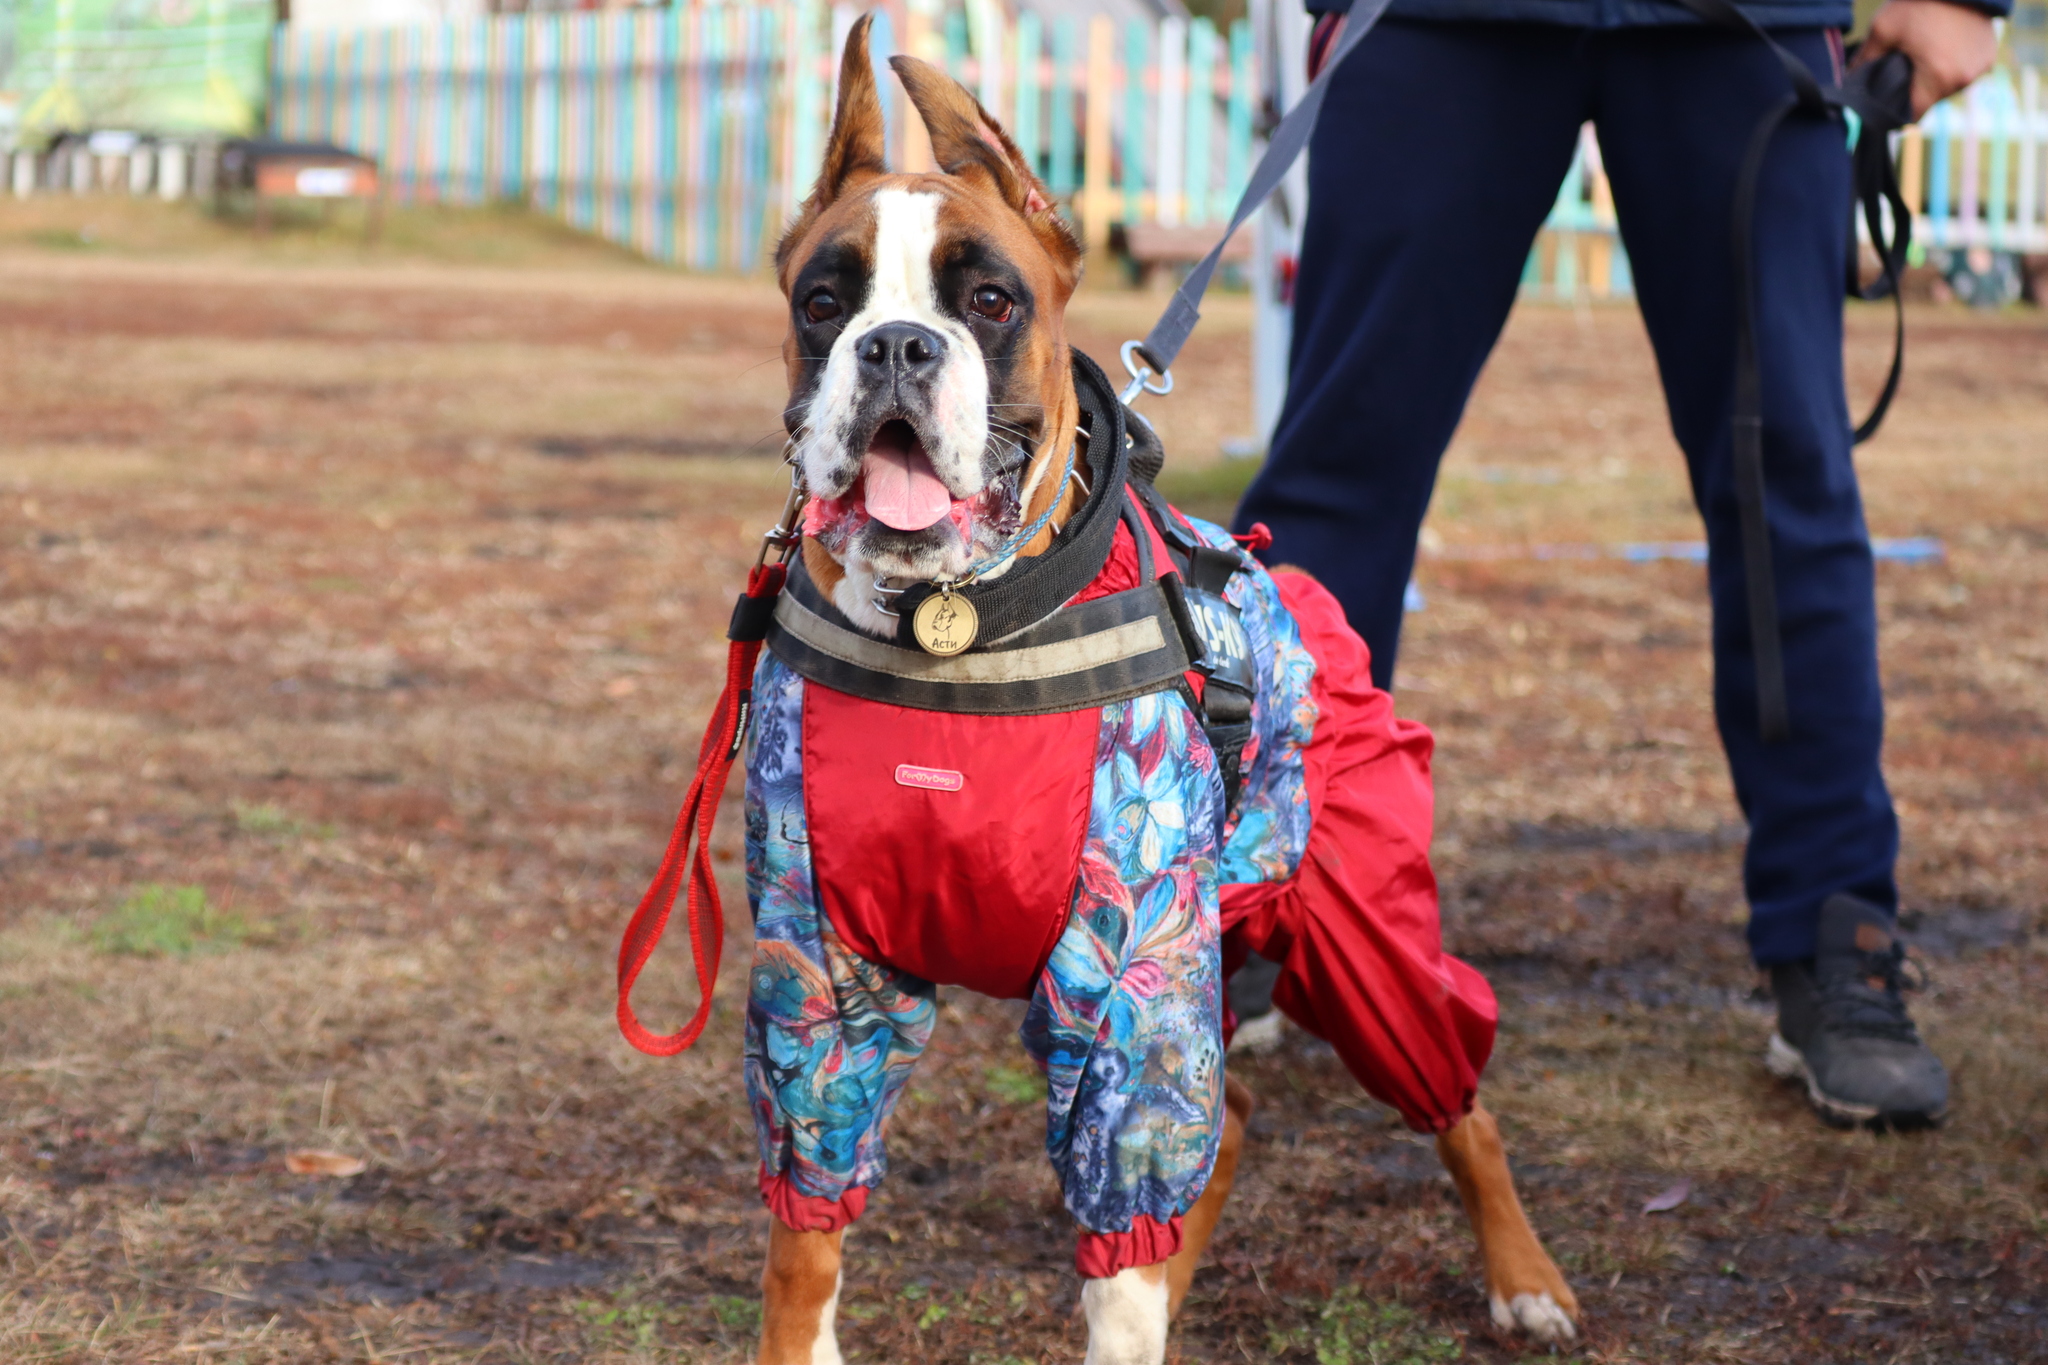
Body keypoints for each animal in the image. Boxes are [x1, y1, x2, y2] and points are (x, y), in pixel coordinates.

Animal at [741, 21, 1581, 1365]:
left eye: (989, 302)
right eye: (824, 302)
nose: (896, 346)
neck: (953, 629)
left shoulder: (1128, 996)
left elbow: (1121, 1253)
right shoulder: (819, 980)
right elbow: (805, 1236)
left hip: (1357, 947)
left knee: (1458, 1104)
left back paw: (1526, 1281)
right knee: (1224, 1128)